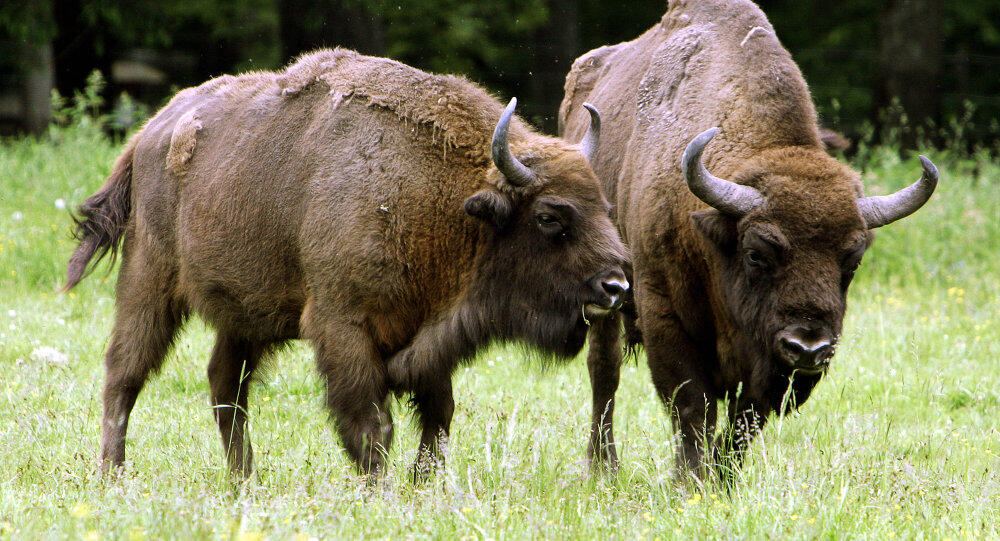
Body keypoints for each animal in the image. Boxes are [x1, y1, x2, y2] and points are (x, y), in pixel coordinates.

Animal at [70, 47, 628, 476]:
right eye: (550, 217)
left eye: (605, 207)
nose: (616, 286)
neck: (445, 201)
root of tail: (147, 134)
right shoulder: (344, 328)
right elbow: (371, 425)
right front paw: (381, 489)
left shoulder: (429, 339)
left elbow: (438, 415)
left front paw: (423, 484)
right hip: (149, 281)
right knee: (125, 373)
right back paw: (113, 475)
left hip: (243, 315)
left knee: (225, 384)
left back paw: (244, 481)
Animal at [560, 1, 932, 480]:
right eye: (756, 254)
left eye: (852, 261)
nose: (808, 345)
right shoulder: (663, 312)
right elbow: (691, 406)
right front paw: (690, 480)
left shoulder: (768, 369)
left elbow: (745, 421)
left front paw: (722, 481)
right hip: (606, 295)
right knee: (604, 371)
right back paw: (603, 467)